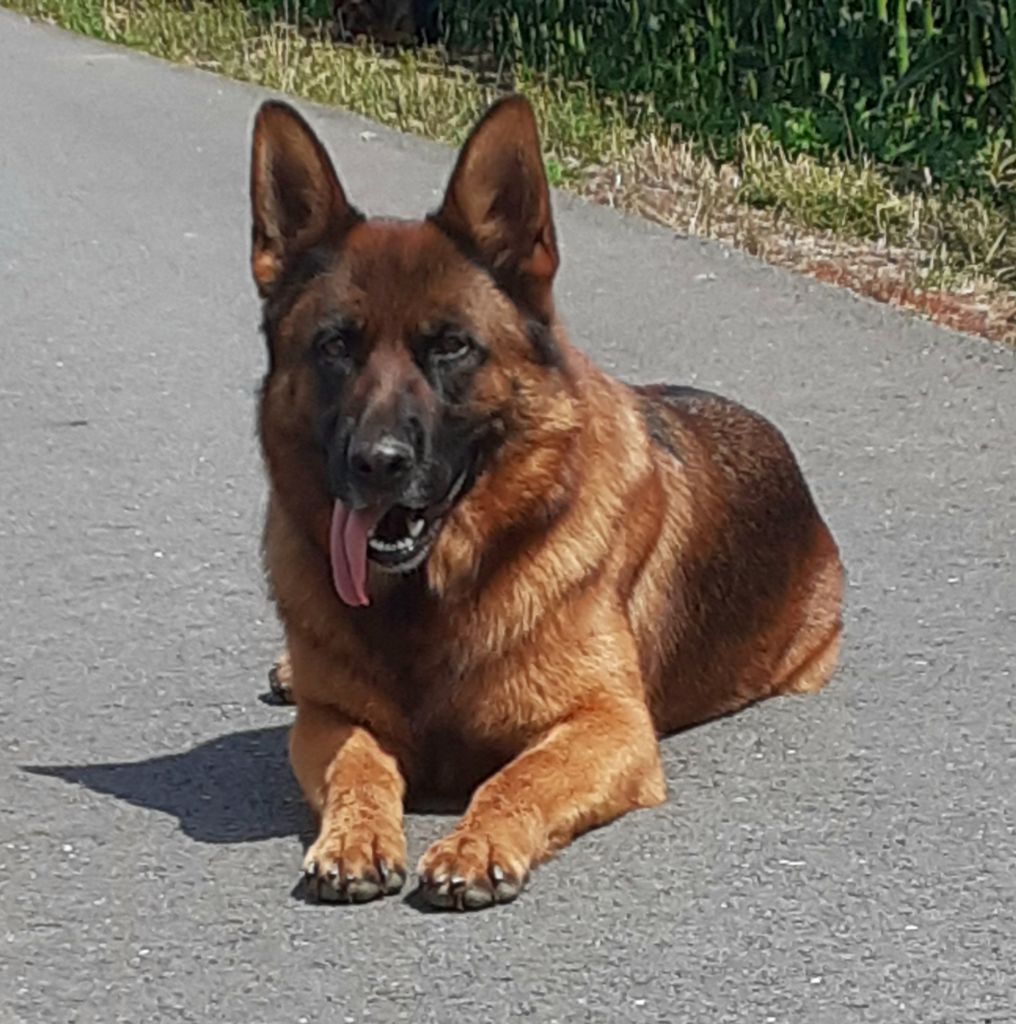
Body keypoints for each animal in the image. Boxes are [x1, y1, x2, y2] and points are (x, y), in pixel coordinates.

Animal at [248, 95, 843, 910]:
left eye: (451, 347)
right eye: (336, 345)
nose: (377, 464)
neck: (433, 601)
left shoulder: (609, 726)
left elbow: (517, 776)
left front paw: (475, 842)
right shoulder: (328, 720)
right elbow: (358, 764)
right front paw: (355, 836)